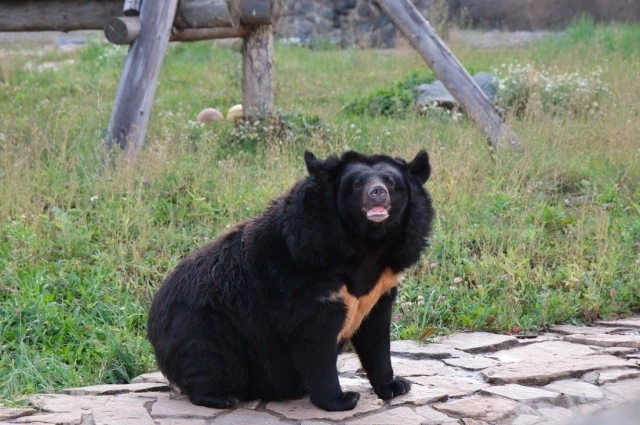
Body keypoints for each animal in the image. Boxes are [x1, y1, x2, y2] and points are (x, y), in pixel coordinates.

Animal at [147, 149, 434, 411]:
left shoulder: (381, 287)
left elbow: (376, 336)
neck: (367, 243)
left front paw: (396, 385)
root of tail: (154, 318)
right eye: (357, 184)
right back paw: (223, 397)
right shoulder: (305, 278)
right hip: (204, 328)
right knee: (209, 360)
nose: (378, 193)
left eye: (391, 182)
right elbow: (314, 341)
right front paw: (341, 400)